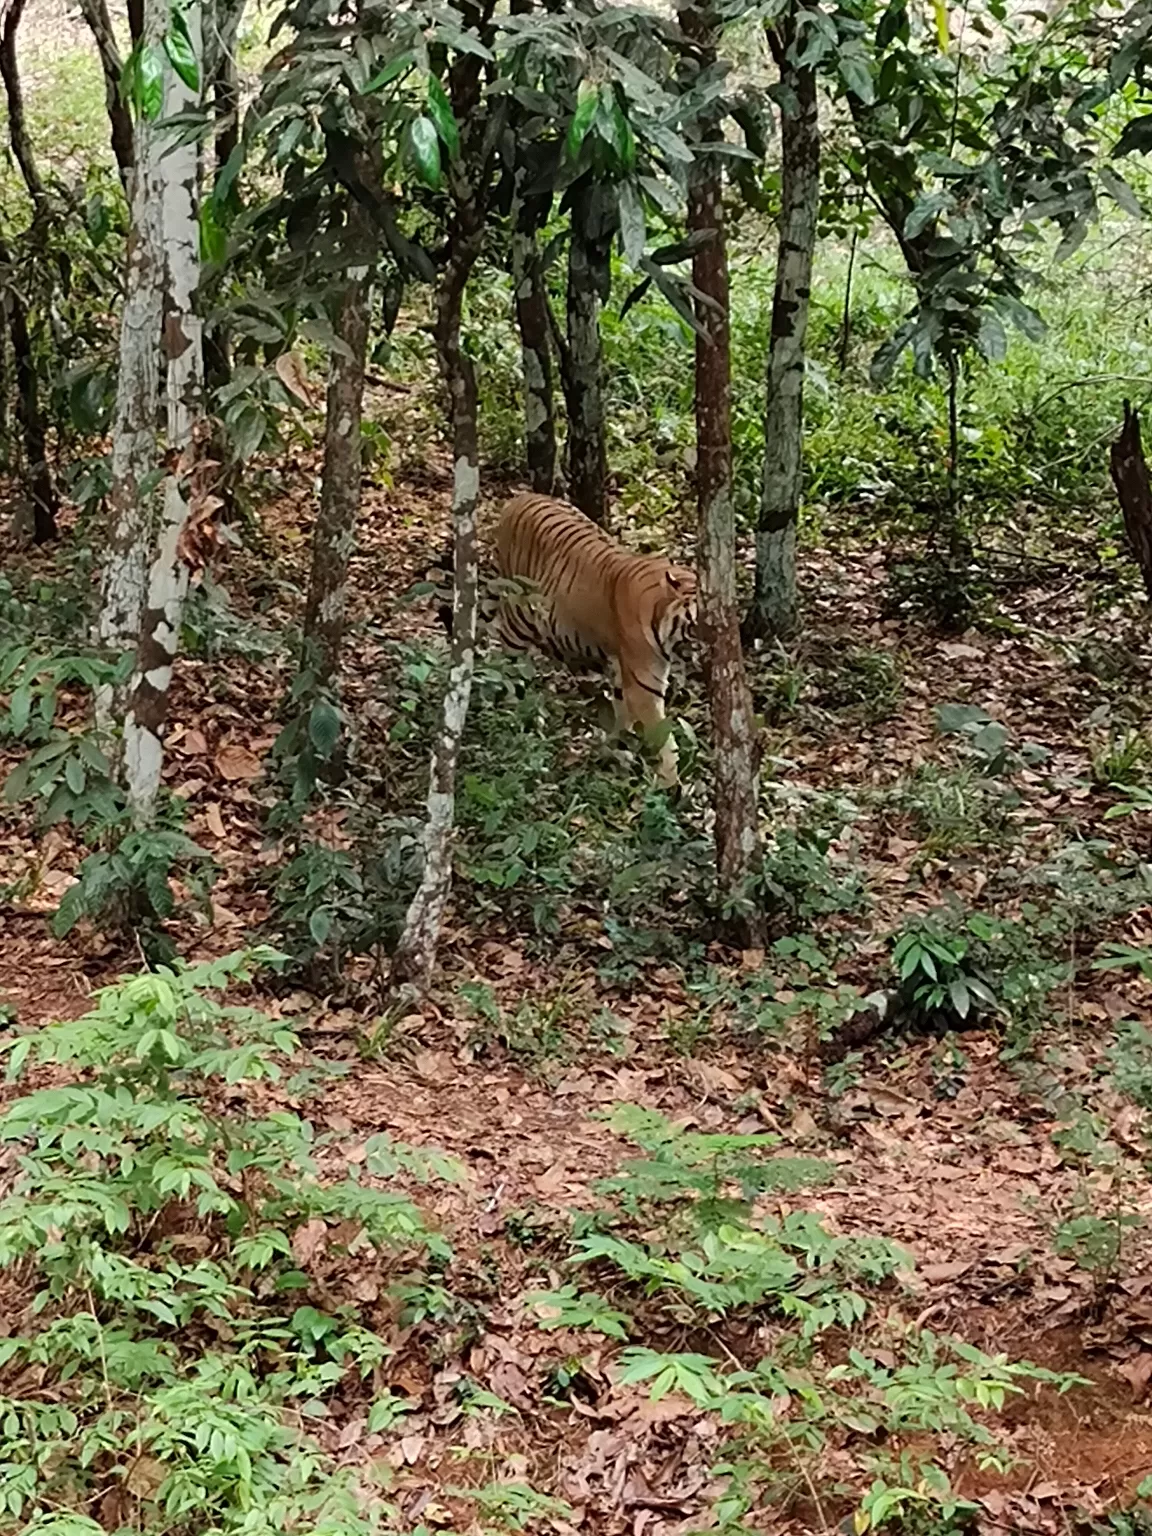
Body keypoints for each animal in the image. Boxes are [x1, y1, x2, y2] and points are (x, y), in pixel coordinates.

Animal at [494, 494, 700, 786]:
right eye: (696, 625)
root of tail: (518, 497)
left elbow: (622, 713)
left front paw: (618, 750)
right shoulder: (644, 686)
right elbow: (663, 737)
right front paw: (670, 784)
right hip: (517, 616)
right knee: (507, 665)